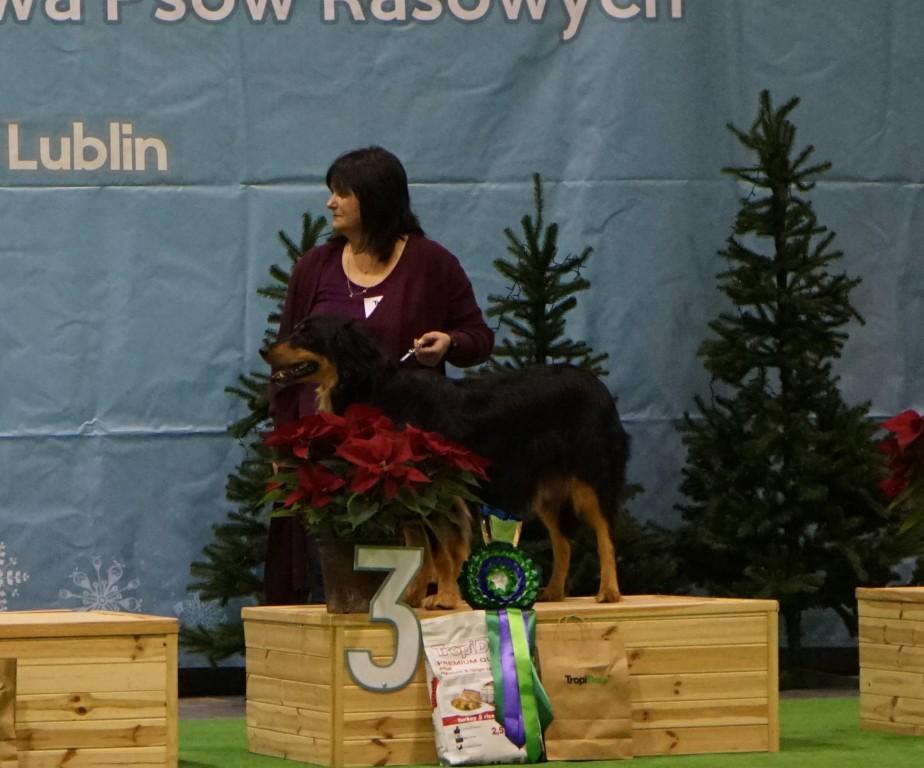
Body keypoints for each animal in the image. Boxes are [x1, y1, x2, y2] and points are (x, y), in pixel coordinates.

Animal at [264, 316, 632, 608]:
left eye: (305, 333)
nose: (264, 351)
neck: (373, 388)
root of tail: (599, 387)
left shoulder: (435, 491)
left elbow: (441, 550)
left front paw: (443, 598)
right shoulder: (406, 492)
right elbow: (421, 549)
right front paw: (414, 597)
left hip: (591, 477)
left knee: (605, 534)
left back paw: (609, 591)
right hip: (547, 488)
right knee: (563, 541)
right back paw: (554, 592)